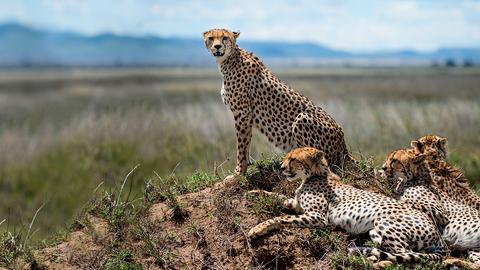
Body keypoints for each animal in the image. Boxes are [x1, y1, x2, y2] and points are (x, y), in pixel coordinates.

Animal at [202, 28, 352, 175]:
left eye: (224, 37)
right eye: (211, 38)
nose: (217, 46)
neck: (230, 59)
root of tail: (344, 147)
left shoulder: (242, 113)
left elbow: (241, 144)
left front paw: (238, 172)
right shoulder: (246, 116)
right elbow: (247, 142)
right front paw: (244, 168)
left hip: (302, 118)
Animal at [249, 147, 444, 264]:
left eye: (293, 159)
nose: (282, 168)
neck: (315, 175)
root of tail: (436, 230)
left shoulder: (317, 217)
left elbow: (282, 217)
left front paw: (257, 228)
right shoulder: (297, 205)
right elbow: (278, 196)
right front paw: (254, 192)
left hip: (385, 222)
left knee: (404, 253)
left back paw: (369, 253)